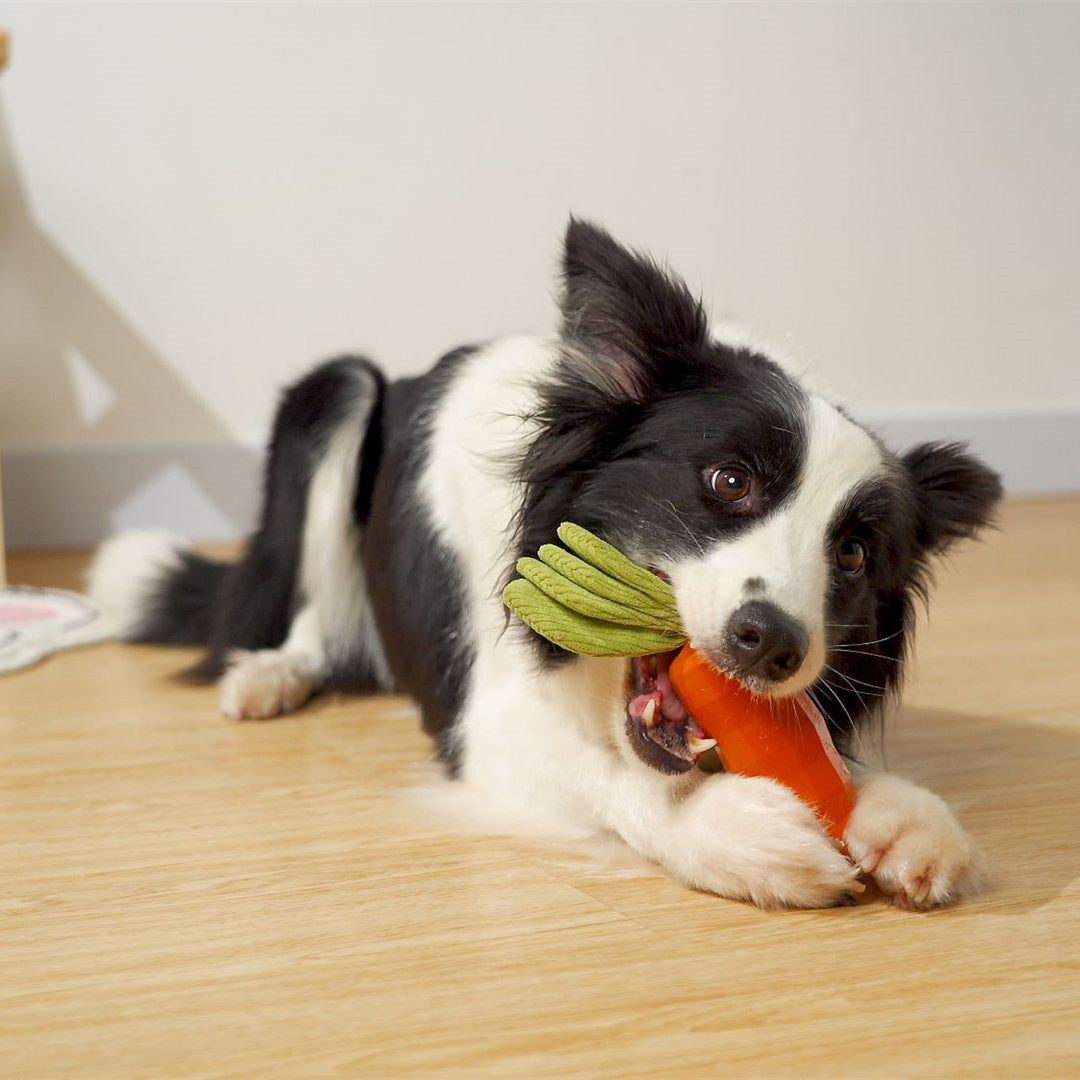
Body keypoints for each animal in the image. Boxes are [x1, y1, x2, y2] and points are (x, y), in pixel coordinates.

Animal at [90, 221, 1002, 911]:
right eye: (729, 480)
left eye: (851, 552)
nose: (771, 643)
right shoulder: (483, 722)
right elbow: (616, 778)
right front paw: (734, 829)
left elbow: (820, 758)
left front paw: (899, 813)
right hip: (333, 391)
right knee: (314, 612)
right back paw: (271, 674)